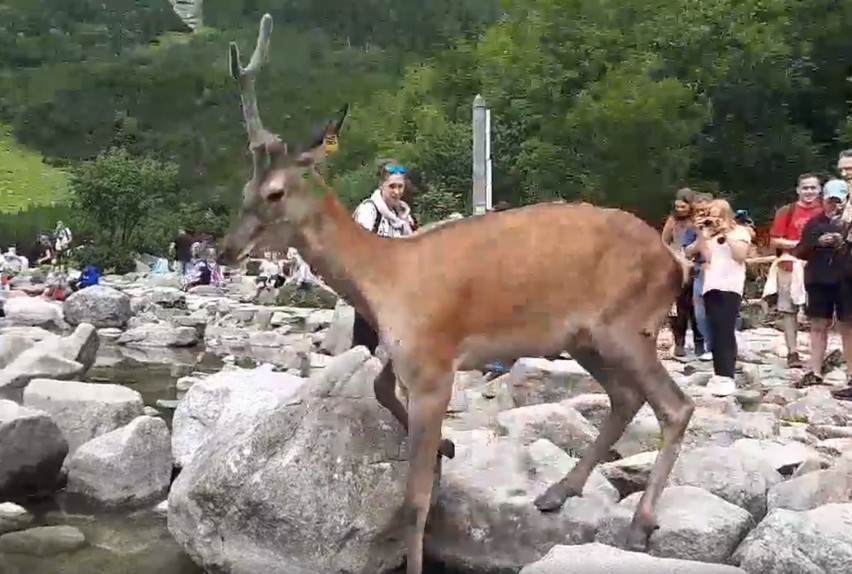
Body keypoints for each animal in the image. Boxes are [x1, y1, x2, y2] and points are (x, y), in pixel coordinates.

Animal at [220, 12, 700, 574]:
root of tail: (675, 263)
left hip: (627, 324)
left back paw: (640, 523)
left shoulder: (433, 365)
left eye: (275, 192)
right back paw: (558, 491)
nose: (227, 250)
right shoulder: (407, 354)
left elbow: (414, 502)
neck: (386, 279)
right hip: (586, 339)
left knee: (675, 405)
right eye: (244, 190)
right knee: (626, 397)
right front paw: (448, 446)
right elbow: (380, 387)